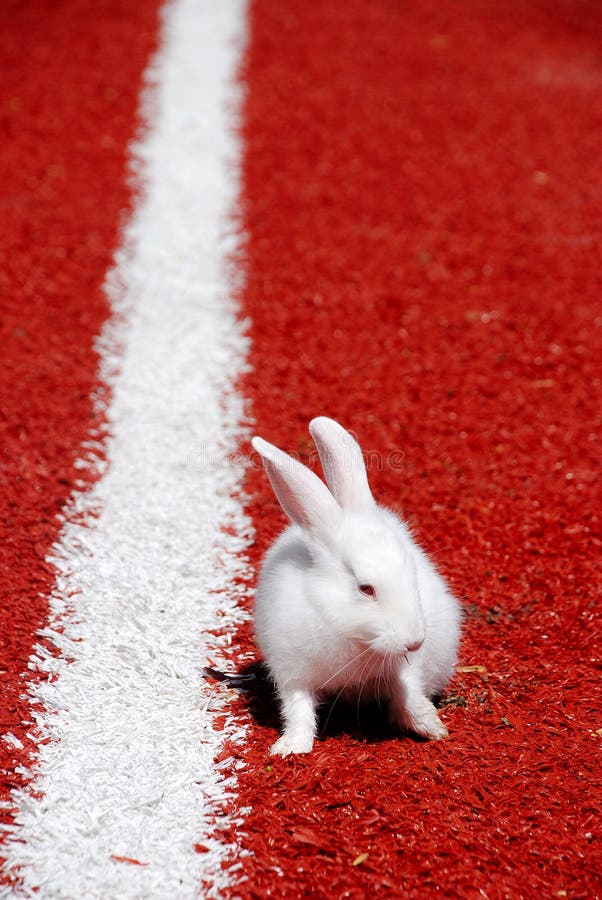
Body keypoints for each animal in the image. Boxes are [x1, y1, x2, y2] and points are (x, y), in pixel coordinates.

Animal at [248, 418, 460, 756]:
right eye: (366, 589)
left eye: (411, 571)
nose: (414, 642)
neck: (355, 636)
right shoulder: (292, 672)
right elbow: (298, 709)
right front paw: (290, 747)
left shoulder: (405, 668)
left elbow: (409, 692)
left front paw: (432, 727)